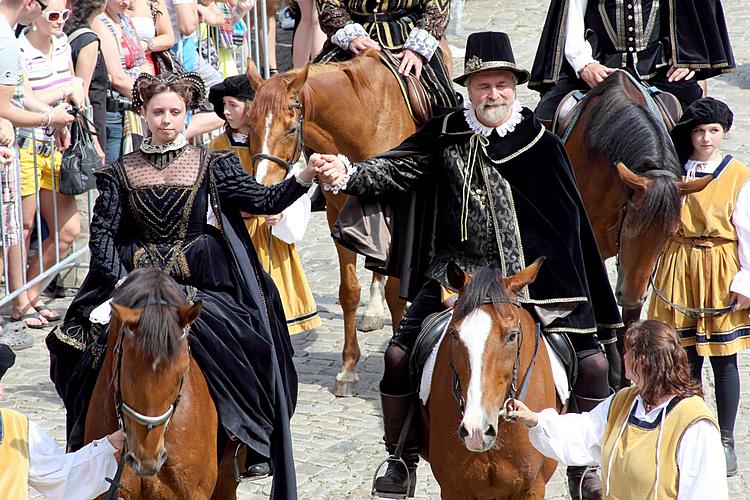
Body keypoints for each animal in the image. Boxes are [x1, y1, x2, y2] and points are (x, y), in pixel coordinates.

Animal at [247, 50, 432, 394]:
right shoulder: (338, 216)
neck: (364, 121)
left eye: (290, 130)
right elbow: (349, 291)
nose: (263, 186)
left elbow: (396, 292)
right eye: (249, 126)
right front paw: (348, 367)